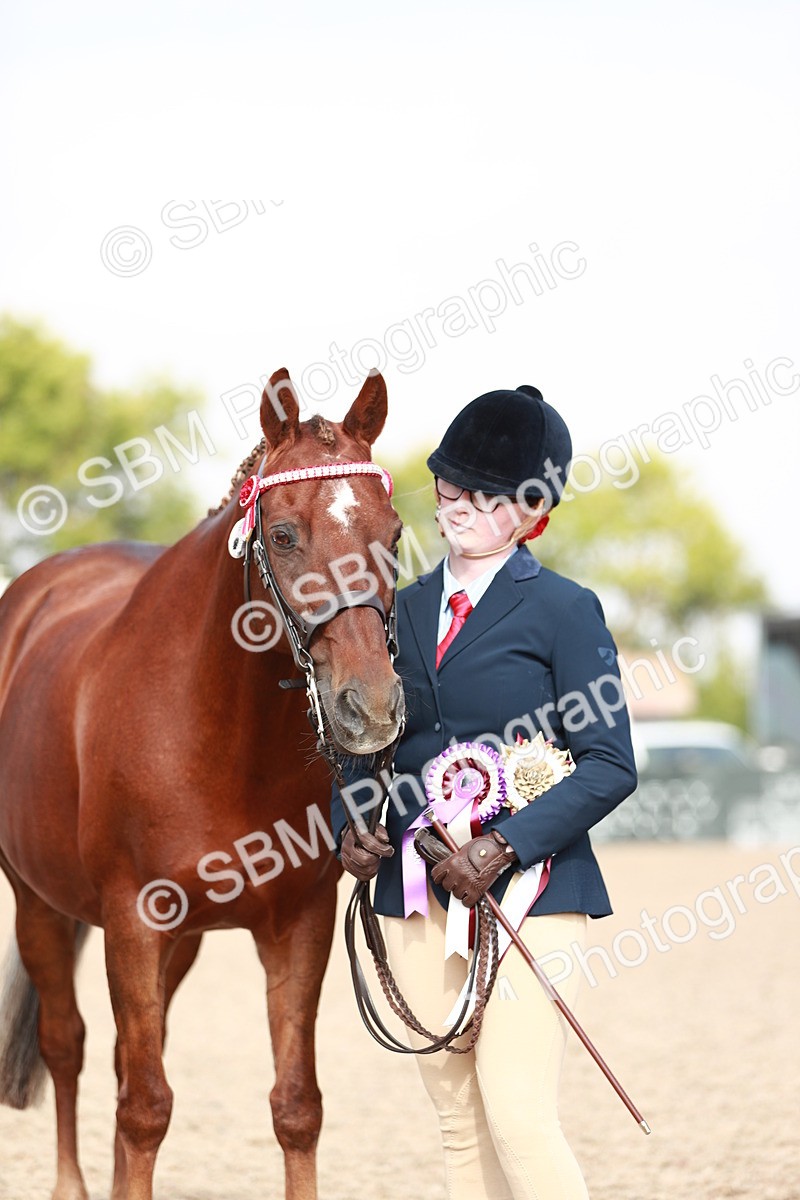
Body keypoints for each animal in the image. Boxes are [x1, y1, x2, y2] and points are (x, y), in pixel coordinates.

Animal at [0, 367, 404, 1200]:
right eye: (283, 536)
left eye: (395, 534)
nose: (371, 708)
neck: (216, 732)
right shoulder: (133, 921)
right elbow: (145, 1107)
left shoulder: (298, 925)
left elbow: (296, 1106)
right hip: (38, 904)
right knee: (69, 1046)